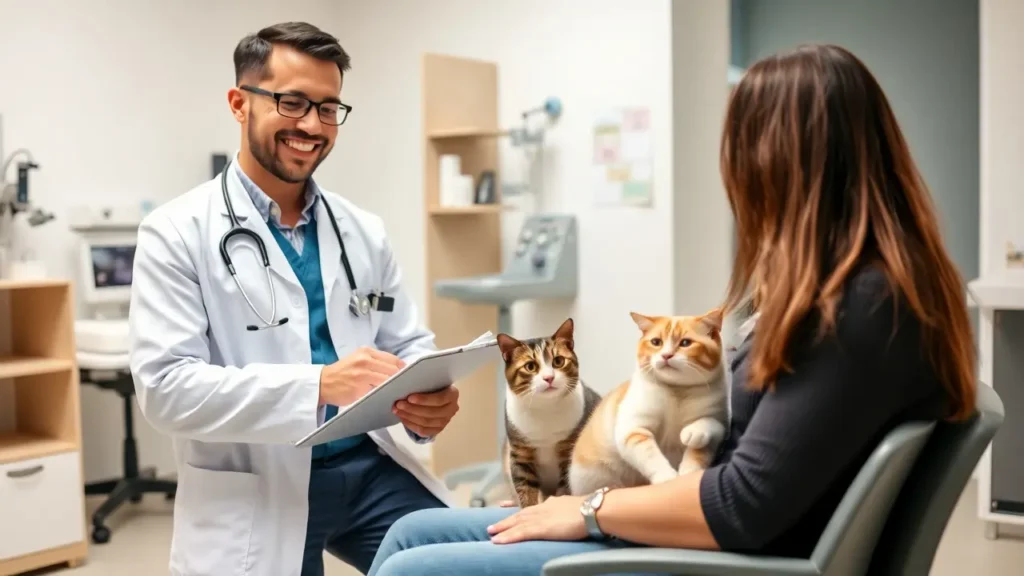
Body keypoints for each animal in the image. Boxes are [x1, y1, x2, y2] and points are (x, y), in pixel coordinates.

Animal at [495, 317, 598, 506]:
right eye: (530, 366)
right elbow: (526, 489)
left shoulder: (569, 451)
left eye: (558, 361)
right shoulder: (520, 453)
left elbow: (565, 486)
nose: (549, 378)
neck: (545, 408)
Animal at [569, 309, 729, 494]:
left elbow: (705, 437)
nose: (666, 355)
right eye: (656, 342)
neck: (677, 391)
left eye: (685, 343)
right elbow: (651, 457)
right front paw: (666, 478)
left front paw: (689, 468)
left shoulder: (719, 425)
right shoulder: (633, 430)